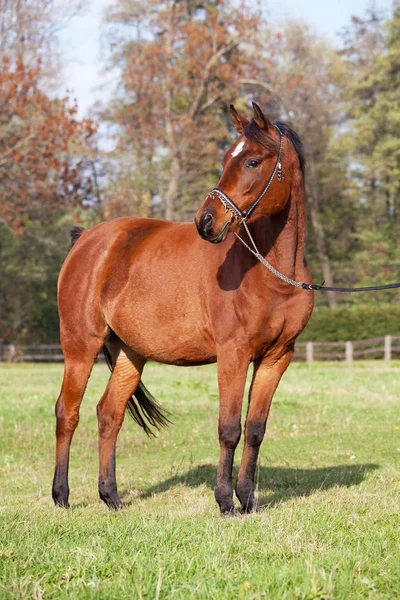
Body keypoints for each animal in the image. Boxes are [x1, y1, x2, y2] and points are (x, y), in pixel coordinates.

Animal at [52, 101, 312, 512]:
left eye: (253, 161)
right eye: (226, 158)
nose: (205, 222)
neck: (272, 273)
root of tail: (87, 239)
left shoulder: (277, 357)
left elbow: (255, 430)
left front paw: (248, 500)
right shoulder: (233, 354)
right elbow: (228, 429)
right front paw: (225, 502)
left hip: (130, 353)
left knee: (109, 414)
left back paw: (111, 497)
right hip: (80, 346)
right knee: (68, 412)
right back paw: (61, 495)